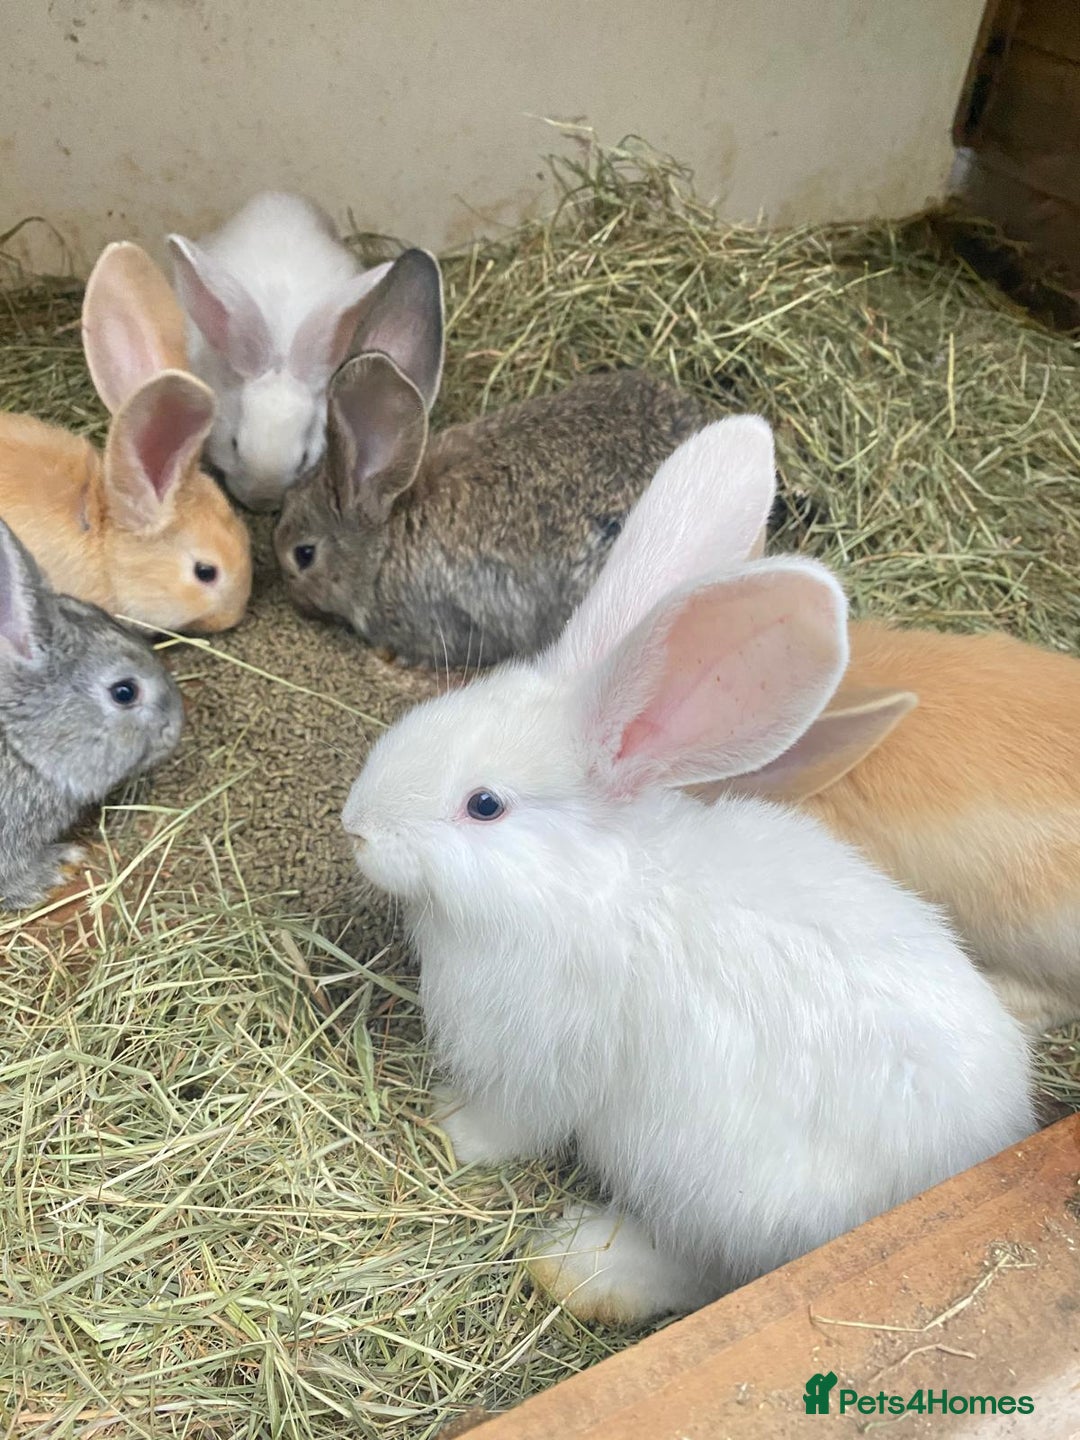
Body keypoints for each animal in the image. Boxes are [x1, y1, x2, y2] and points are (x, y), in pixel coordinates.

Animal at [340, 417, 1034, 1327]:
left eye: (484, 806)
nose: (356, 826)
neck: (582, 885)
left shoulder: (539, 1063)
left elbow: (509, 1125)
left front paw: (448, 1130)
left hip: (720, 1192)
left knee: (709, 1270)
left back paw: (580, 1261)